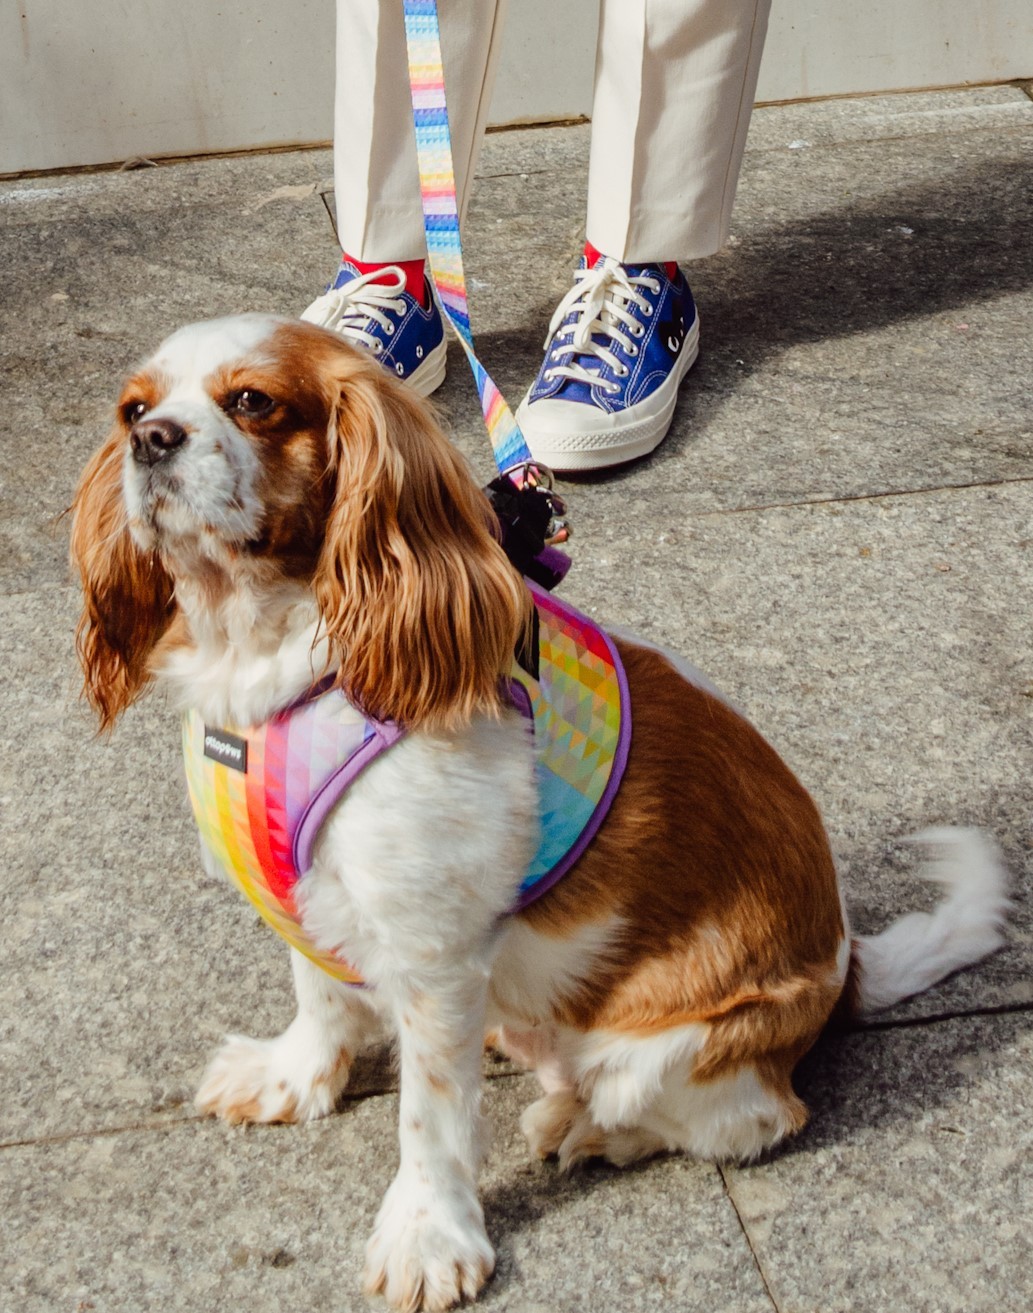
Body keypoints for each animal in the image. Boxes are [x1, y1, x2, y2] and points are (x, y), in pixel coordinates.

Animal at [70, 317, 1008, 1313]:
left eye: (252, 400)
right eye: (133, 408)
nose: (150, 440)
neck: (275, 663)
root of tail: (846, 962)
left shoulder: (433, 953)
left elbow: (430, 1116)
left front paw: (427, 1233)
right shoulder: (312, 895)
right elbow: (319, 995)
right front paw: (295, 1078)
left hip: (666, 1052)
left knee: (749, 1117)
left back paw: (587, 1124)